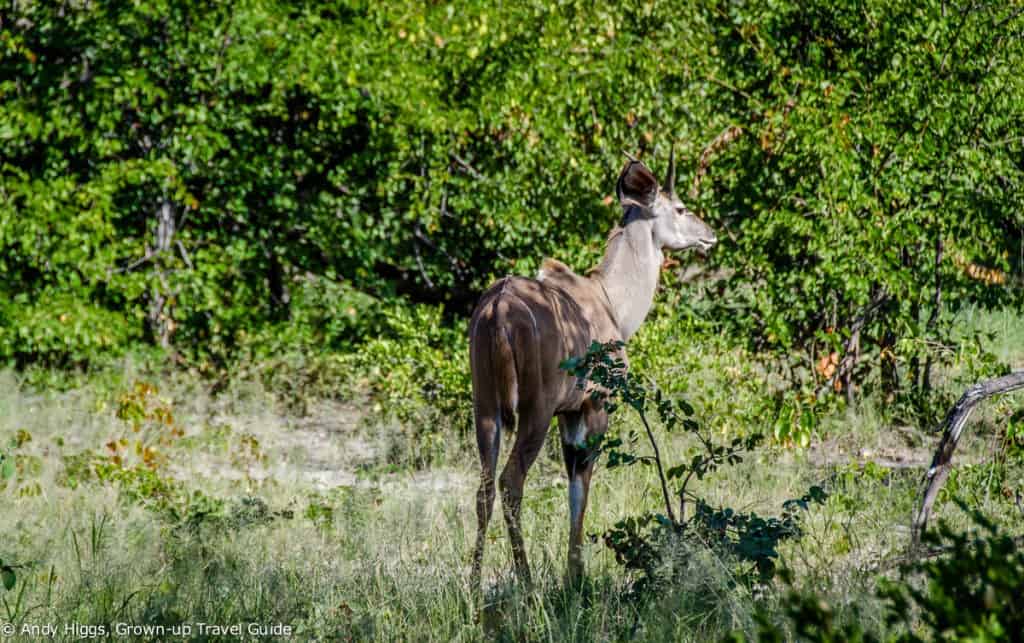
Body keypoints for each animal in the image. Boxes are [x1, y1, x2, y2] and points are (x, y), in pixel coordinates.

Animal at [468, 148, 716, 585]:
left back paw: (474, 586)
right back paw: (527, 584)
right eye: (681, 207)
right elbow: (580, 484)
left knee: (484, 488)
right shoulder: (593, 405)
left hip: (485, 407)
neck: (610, 300)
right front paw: (575, 577)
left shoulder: (568, 414)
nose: (710, 234)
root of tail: (498, 310)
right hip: (534, 411)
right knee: (511, 481)